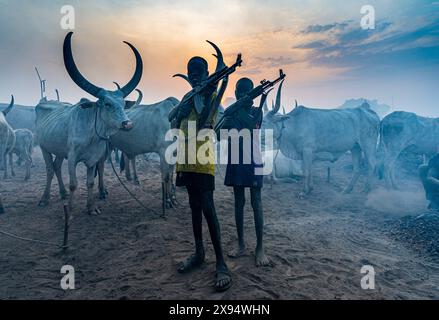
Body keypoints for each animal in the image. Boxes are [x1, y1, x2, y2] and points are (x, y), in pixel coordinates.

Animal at [36, 31, 143, 215]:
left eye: (123, 104)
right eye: (106, 103)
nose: (127, 124)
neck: (92, 136)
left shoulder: (92, 160)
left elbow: (90, 182)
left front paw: (91, 207)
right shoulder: (72, 158)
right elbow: (74, 184)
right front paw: (71, 210)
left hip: (59, 151)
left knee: (56, 167)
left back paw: (62, 193)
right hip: (45, 148)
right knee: (50, 170)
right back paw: (45, 198)